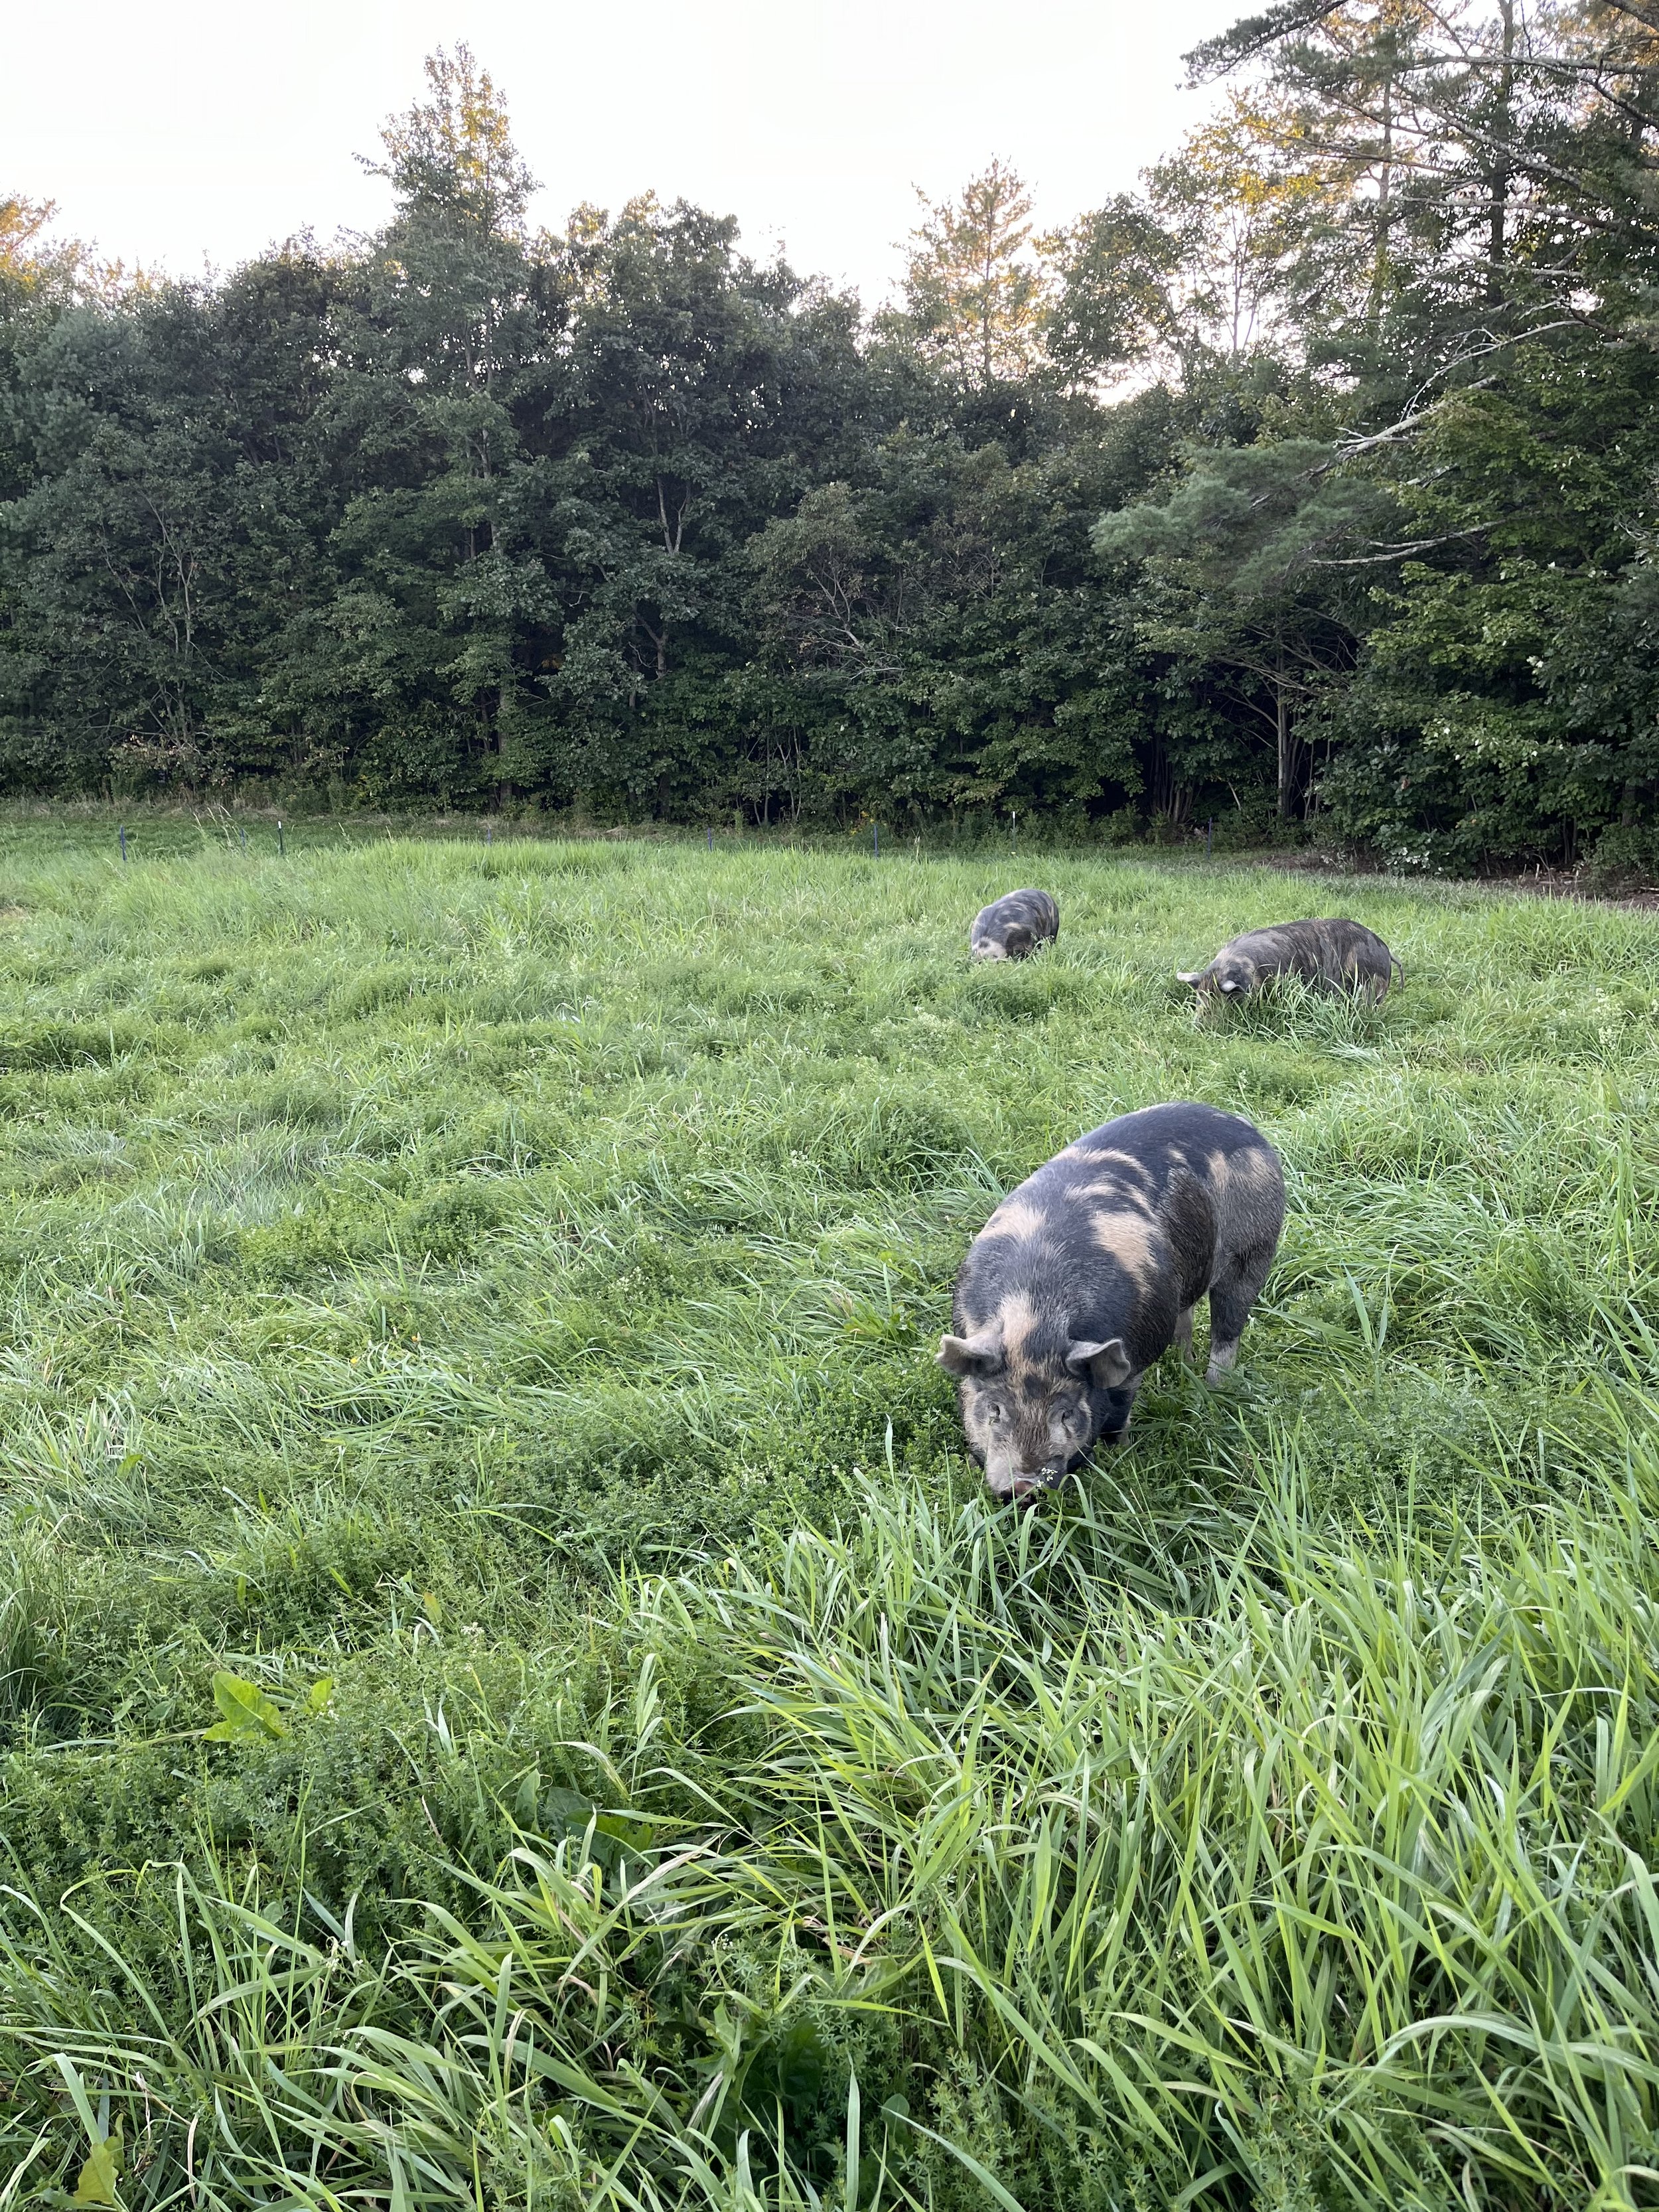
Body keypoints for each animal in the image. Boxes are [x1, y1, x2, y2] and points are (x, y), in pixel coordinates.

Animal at [937, 1102, 1284, 1500]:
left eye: (1066, 1413)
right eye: (994, 1409)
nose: (1024, 1485)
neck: (1035, 1315)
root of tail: (1239, 1123)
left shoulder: (1133, 1357)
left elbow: (1118, 1412)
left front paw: (1118, 1457)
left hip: (1256, 1248)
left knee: (1227, 1329)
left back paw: (1213, 1393)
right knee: (1186, 1318)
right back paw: (1184, 1367)